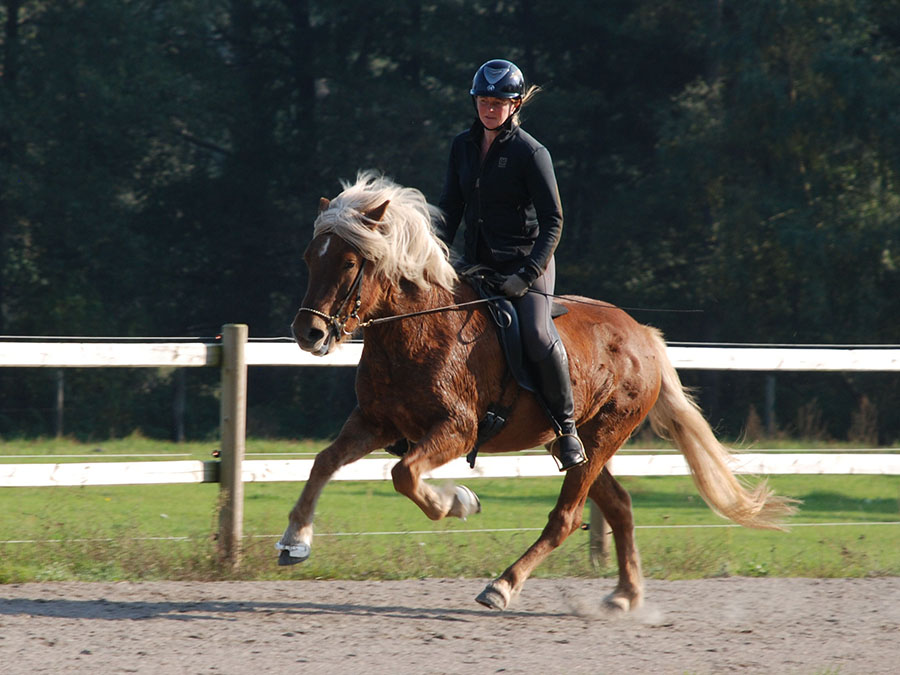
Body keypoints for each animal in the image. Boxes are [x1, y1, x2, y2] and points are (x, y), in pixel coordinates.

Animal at [278, 170, 800, 612]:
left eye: (349, 261)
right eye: (307, 258)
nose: (309, 334)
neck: (415, 329)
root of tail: (643, 335)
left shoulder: (456, 430)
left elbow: (404, 475)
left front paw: (458, 502)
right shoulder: (375, 421)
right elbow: (324, 462)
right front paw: (295, 541)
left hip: (601, 436)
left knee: (567, 517)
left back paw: (503, 586)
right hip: (581, 444)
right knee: (619, 505)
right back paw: (625, 595)